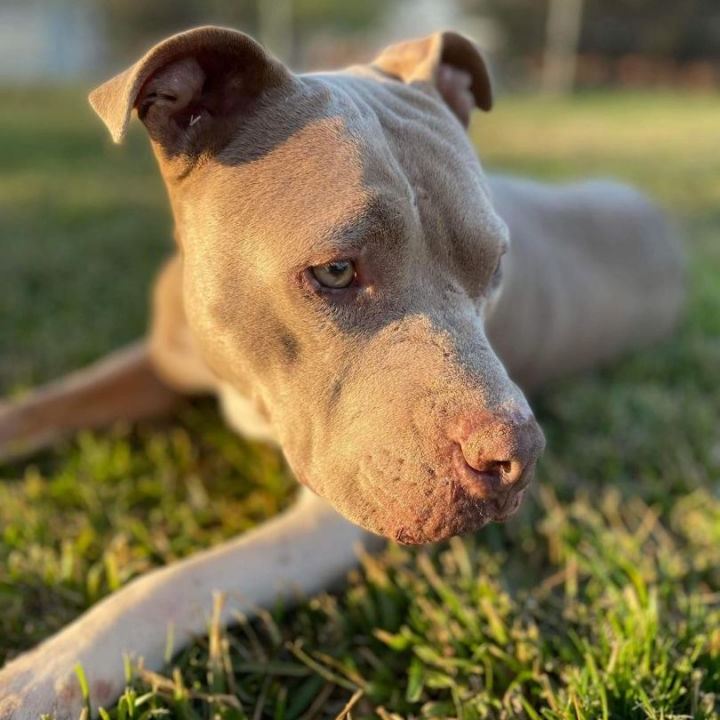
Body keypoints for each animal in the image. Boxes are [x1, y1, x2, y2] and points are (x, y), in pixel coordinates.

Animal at [0, 25, 688, 716]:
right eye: (335, 271)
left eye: (495, 267)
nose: (519, 457)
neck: (246, 382)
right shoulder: (163, 360)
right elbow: (43, 404)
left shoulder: (326, 523)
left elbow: (177, 582)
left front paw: (45, 673)